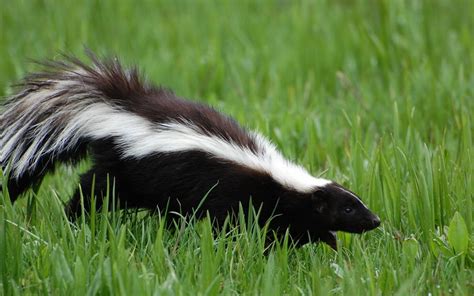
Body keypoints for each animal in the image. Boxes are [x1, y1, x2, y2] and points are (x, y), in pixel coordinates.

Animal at [0, 52, 378, 247]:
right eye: (349, 208)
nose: (375, 220)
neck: (280, 179)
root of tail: (119, 108)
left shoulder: (285, 209)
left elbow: (294, 229)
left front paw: (328, 243)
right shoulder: (238, 194)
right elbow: (240, 226)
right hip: (128, 170)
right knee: (94, 189)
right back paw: (75, 218)